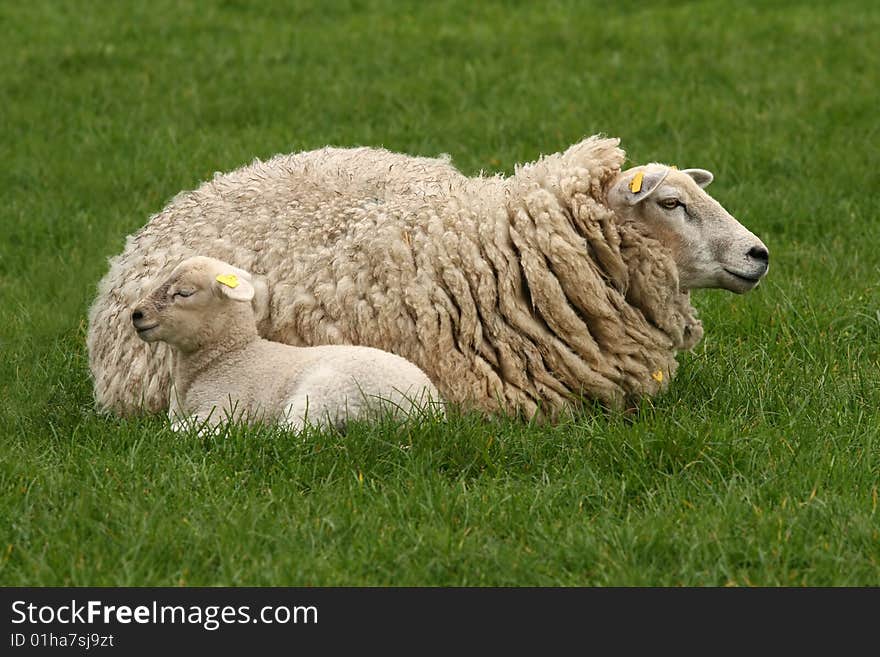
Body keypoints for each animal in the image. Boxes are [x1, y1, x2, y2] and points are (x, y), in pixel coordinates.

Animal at [131, 255, 444, 430]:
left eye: (184, 293)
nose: (136, 314)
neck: (230, 355)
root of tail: (428, 406)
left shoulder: (223, 407)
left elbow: (176, 431)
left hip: (327, 392)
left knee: (295, 432)